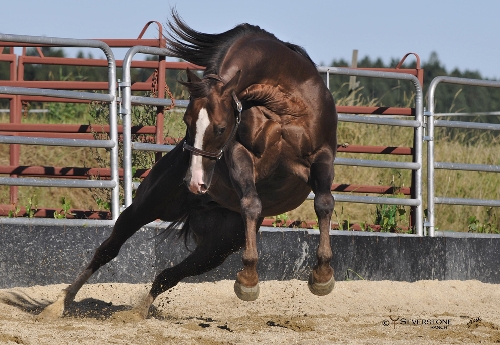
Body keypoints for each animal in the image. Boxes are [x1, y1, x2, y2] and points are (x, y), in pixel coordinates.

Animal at [39, 11, 338, 320]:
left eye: (220, 128)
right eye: (187, 123)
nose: (195, 183)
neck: (280, 105)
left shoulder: (322, 156)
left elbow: (324, 202)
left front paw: (322, 275)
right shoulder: (238, 154)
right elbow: (252, 203)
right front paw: (249, 280)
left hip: (217, 247)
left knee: (168, 275)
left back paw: (136, 312)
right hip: (146, 207)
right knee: (107, 250)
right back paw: (59, 304)